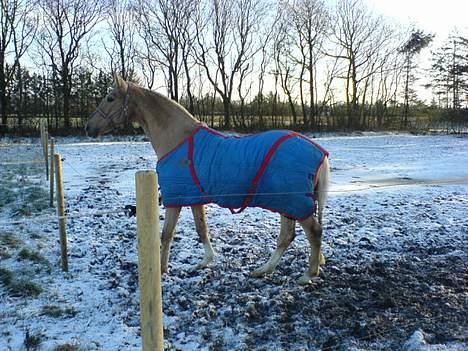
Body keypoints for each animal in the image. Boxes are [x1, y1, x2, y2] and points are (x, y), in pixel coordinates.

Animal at [86, 75, 330, 284]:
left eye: (110, 98)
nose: (89, 128)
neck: (178, 140)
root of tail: (318, 150)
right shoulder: (193, 198)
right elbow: (201, 229)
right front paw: (205, 262)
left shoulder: (175, 199)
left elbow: (166, 235)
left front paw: (162, 270)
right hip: (287, 202)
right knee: (287, 236)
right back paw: (264, 270)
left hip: (293, 202)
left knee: (313, 232)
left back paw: (308, 274)